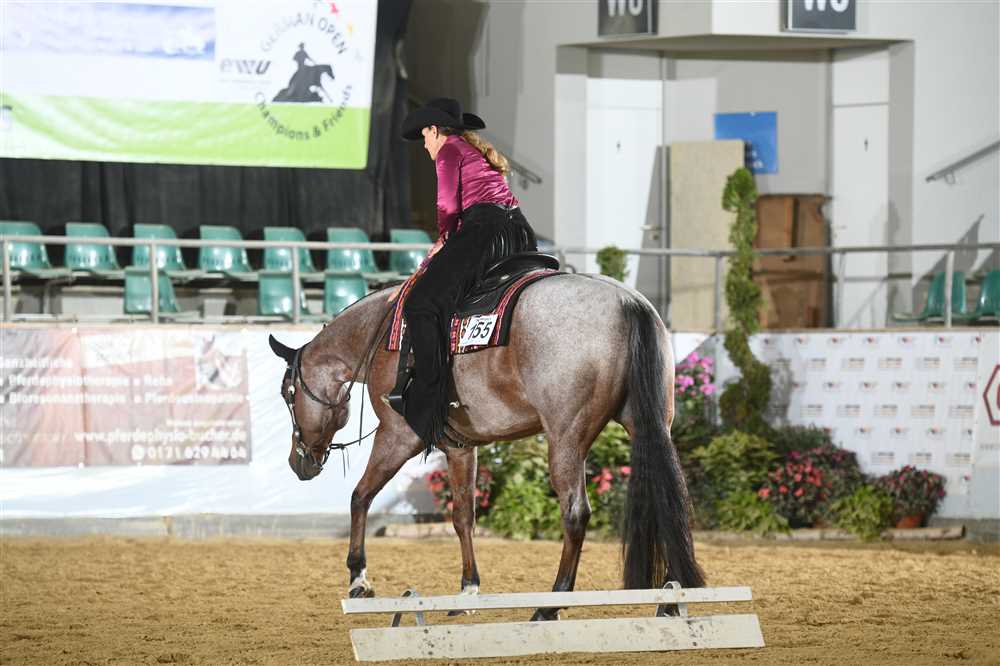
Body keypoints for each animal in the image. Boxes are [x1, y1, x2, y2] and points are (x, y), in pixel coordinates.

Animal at [268, 273, 705, 620]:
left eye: (288, 393)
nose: (298, 462)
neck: (381, 334)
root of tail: (627, 303)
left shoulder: (397, 434)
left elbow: (360, 496)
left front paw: (358, 579)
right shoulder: (462, 446)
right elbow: (463, 516)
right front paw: (468, 590)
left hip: (566, 437)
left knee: (576, 513)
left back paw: (550, 605)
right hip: (652, 426)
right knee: (670, 500)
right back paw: (670, 599)